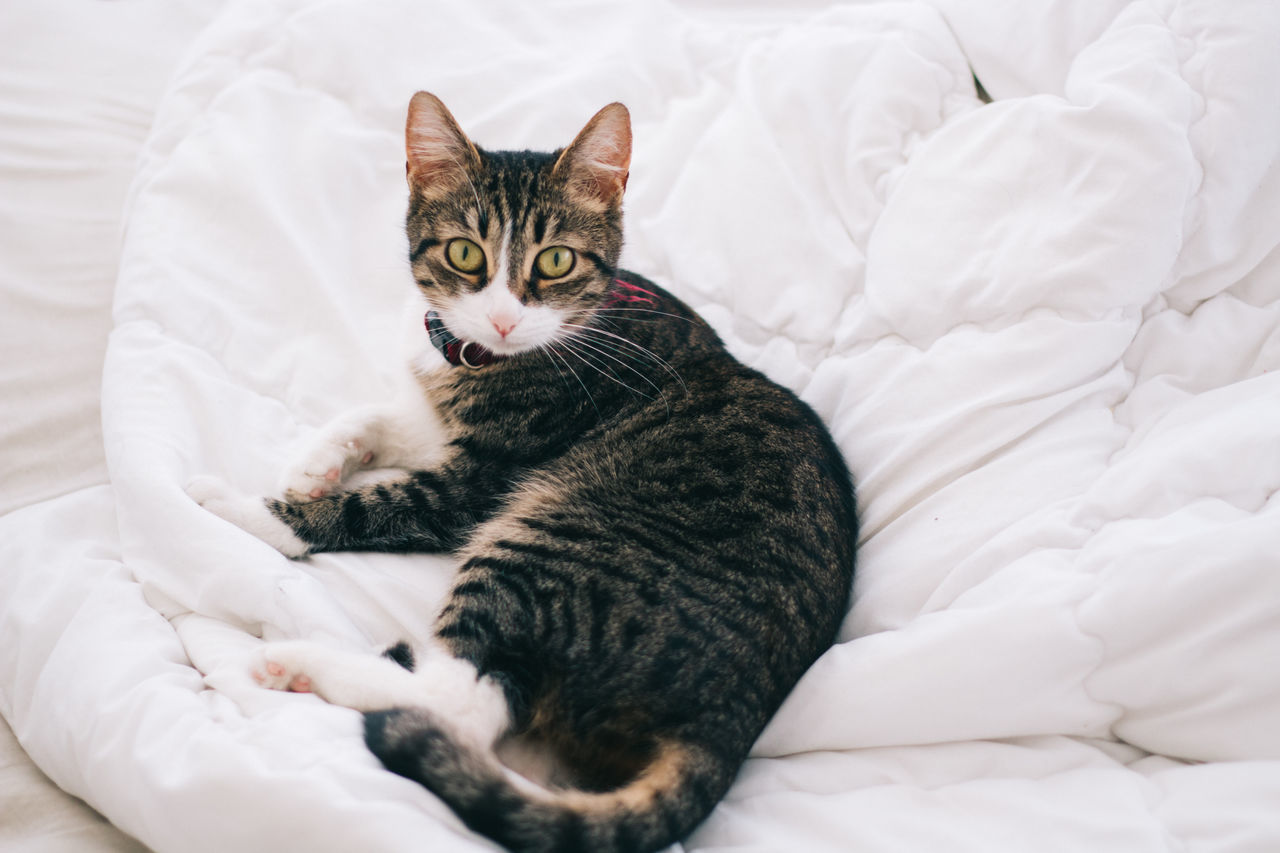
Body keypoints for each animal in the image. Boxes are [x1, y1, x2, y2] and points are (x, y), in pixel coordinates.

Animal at [189, 91, 855, 850]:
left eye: (557, 260)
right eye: (464, 252)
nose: (505, 319)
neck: (484, 357)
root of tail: (729, 718)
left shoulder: (480, 481)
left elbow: (371, 505)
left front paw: (241, 506)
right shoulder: (441, 415)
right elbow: (390, 415)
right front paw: (316, 459)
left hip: (554, 543)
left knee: (459, 702)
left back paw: (298, 663)